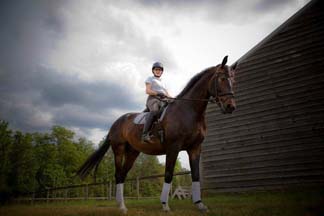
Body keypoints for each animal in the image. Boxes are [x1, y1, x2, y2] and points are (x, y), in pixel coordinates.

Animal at [77, 55, 237, 213]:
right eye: (222, 79)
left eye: (233, 80)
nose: (230, 106)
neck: (189, 111)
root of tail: (116, 122)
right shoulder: (173, 148)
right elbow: (168, 174)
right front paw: (165, 205)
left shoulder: (195, 148)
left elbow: (196, 175)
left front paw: (200, 204)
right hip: (119, 149)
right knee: (118, 174)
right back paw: (122, 207)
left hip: (132, 152)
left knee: (122, 174)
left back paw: (120, 204)